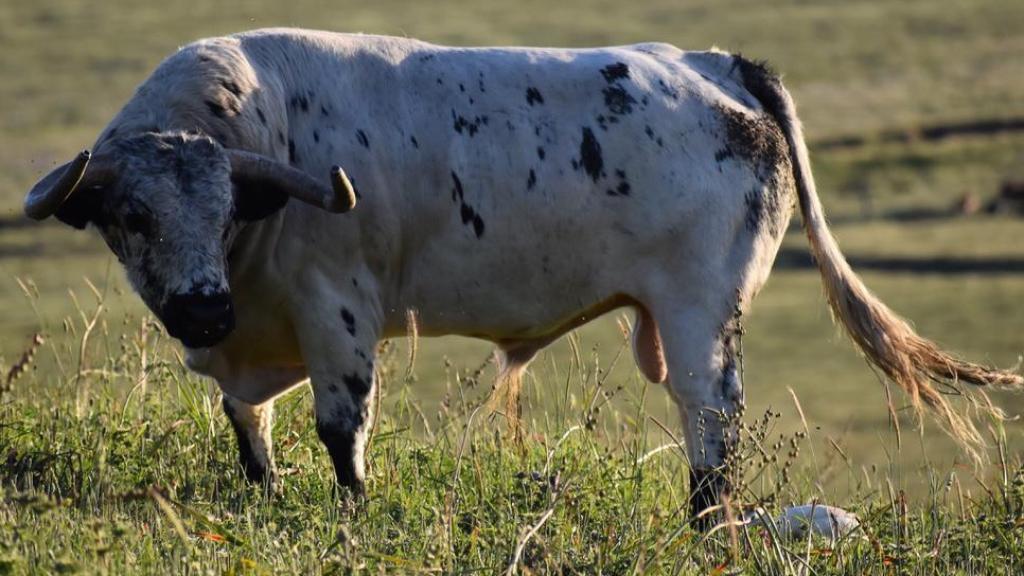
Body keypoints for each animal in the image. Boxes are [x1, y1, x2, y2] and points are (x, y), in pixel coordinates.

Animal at [19, 29, 1019, 518]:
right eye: (132, 217)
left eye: (226, 208)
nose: (200, 311)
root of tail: (715, 65)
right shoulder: (250, 344)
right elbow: (250, 430)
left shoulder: (336, 312)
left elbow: (342, 431)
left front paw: (351, 515)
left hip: (702, 315)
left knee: (711, 425)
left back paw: (706, 526)